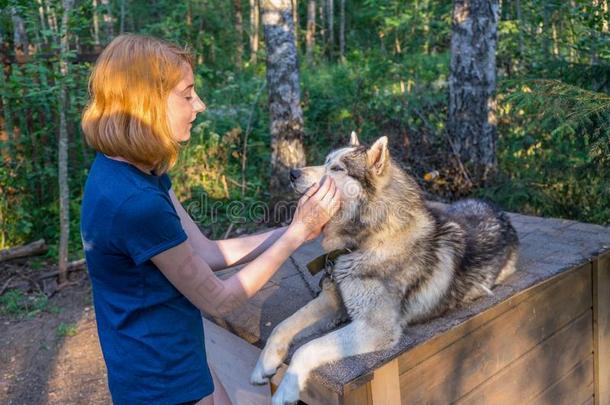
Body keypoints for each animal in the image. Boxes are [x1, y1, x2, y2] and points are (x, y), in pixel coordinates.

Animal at [252, 133, 516, 404]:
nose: (292, 173)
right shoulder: (334, 302)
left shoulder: (375, 327)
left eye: (337, 169)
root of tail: (497, 210)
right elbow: (283, 325)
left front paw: (286, 389)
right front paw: (264, 364)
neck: (366, 242)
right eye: (325, 161)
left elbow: (307, 348)